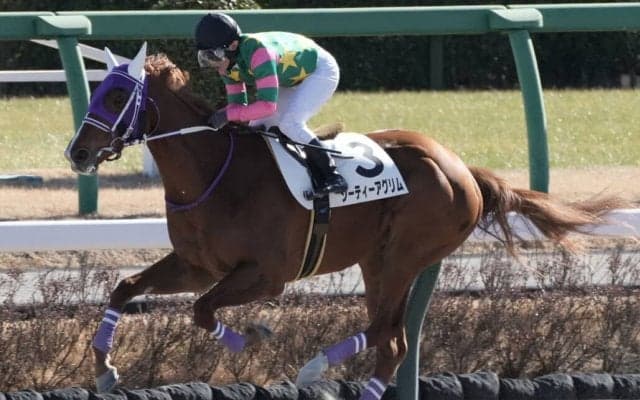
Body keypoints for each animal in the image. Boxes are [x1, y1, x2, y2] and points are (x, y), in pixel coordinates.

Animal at [64, 43, 621, 398]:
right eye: (97, 91)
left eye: (118, 97)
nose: (78, 152)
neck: (214, 174)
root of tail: (461, 167)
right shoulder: (196, 265)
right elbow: (125, 288)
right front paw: (105, 369)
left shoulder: (267, 275)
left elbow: (202, 310)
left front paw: (250, 338)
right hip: (380, 260)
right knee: (392, 341)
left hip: (402, 257)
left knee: (387, 335)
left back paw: (313, 367)